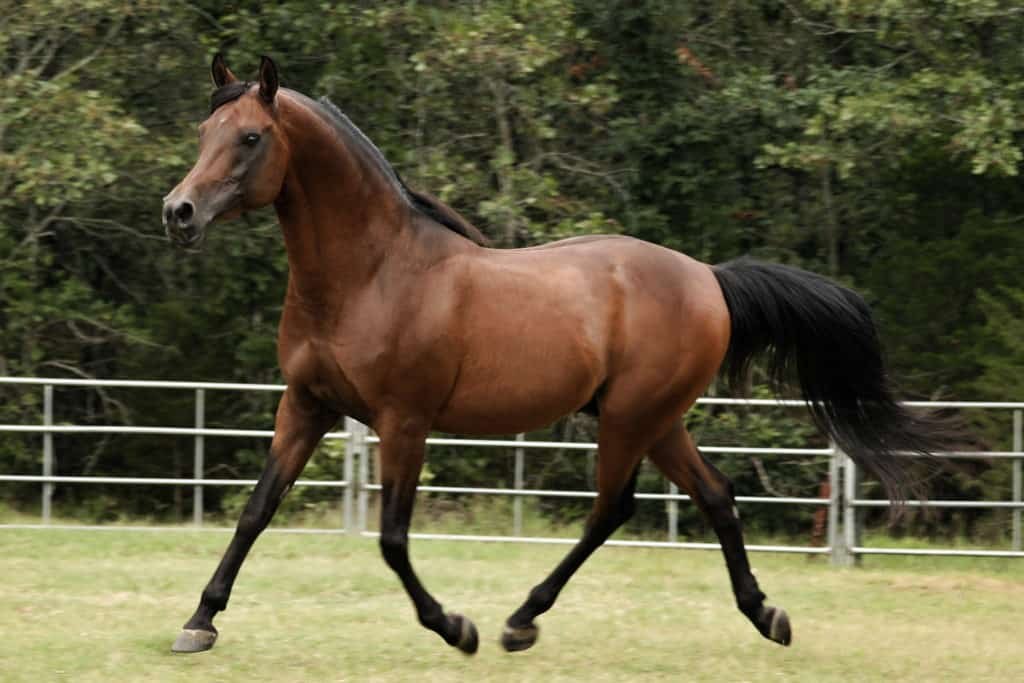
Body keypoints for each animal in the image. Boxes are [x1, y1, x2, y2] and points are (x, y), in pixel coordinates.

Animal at [161, 57, 950, 655]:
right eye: (204, 131)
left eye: (252, 137)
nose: (179, 213)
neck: (371, 274)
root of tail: (709, 277)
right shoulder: (307, 405)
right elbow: (257, 510)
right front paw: (199, 622)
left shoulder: (403, 420)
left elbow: (390, 536)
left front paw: (456, 627)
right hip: (658, 419)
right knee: (716, 496)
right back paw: (767, 615)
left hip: (631, 416)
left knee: (612, 507)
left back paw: (519, 620)